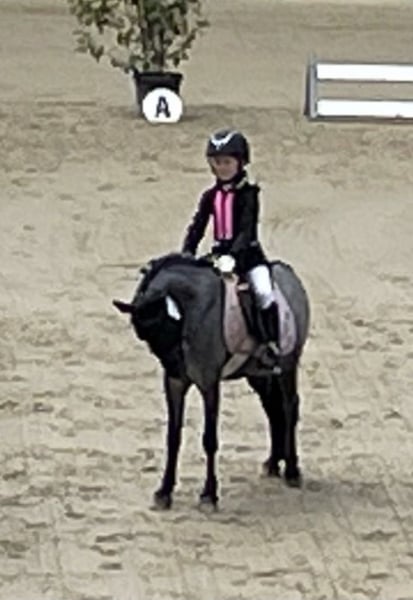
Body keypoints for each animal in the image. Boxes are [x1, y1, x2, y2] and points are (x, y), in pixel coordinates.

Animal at [113, 252, 310, 510]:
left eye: (169, 326)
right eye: (142, 335)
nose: (176, 367)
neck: (193, 310)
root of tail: (289, 273)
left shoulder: (209, 383)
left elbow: (209, 439)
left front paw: (209, 494)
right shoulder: (175, 384)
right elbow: (173, 436)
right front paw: (164, 492)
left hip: (287, 365)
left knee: (289, 407)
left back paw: (292, 471)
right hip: (257, 374)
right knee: (273, 409)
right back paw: (273, 463)